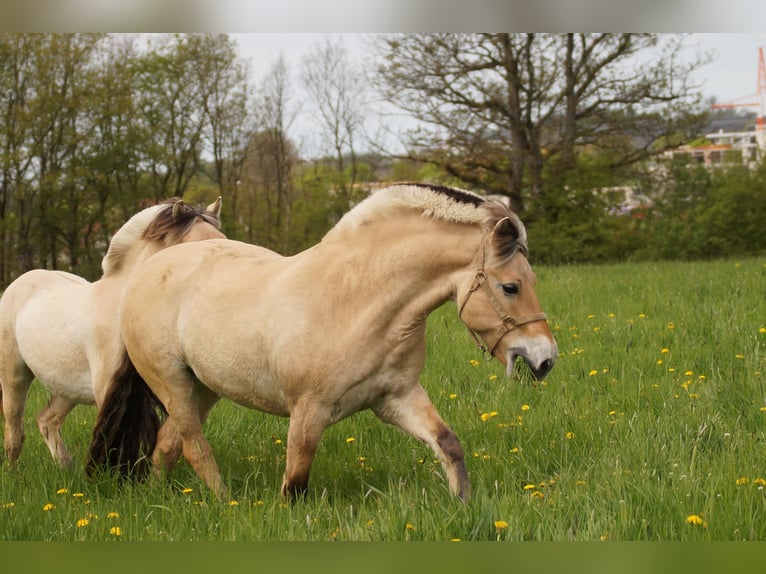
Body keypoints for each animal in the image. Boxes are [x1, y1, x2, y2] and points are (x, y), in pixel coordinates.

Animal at [0, 197, 225, 467]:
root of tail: (21, 281)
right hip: (14, 375)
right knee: (14, 432)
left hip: (67, 388)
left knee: (47, 420)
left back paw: (66, 468)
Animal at [87, 183, 557, 501]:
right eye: (511, 287)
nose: (545, 359)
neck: (358, 299)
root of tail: (150, 270)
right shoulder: (308, 412)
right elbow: (295, 484)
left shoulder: (397, 398)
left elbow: (448, 445)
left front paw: (465, 506)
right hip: (173, 385)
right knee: (193, 447)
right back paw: (226, 504)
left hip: (203, 387)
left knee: (167, 445)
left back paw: (160, 496)